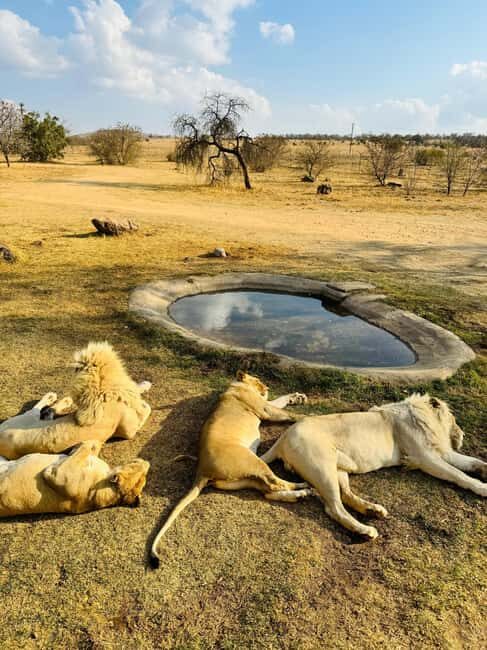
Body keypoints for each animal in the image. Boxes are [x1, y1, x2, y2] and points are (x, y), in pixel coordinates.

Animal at [0, 342, 152, 460]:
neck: (100, 389)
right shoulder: (129, 431)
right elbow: (144, 406)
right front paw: (145, 387)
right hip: (25, 418)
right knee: (34, 409)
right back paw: (51, 396)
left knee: (48, 410)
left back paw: (60, 400)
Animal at [150, 371, 311, 567]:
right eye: (257, 380)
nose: (267, 387)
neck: (236, 385)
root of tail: (201, 470)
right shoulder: (265, 409)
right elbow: (288, 413)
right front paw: (306, 416)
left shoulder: (265, 404)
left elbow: (282, 400)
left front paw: (297, 397)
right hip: (252, 461)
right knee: (273, 484)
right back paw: (304, 487)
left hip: (244, 479)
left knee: (268, 492)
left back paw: (300, 494)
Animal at [260, 394, 487, 539]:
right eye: (454, 419)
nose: (463, 433)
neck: (422, 417)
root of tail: (282, 438)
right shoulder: (424, 457)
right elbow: (458, 474)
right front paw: (482, 487)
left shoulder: (441, 452)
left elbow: (471, 462)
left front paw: (482, 470)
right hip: (322, 467)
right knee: (333, 508)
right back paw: (364, 530)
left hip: (338, 468)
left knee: (346, 495)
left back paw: (373, 511)